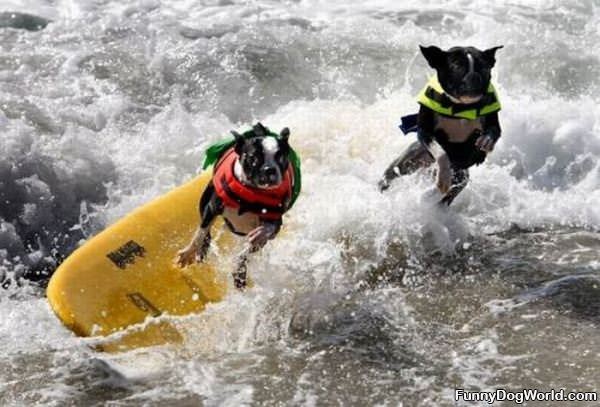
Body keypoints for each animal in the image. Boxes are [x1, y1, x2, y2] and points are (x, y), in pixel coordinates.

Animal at [176, 122, 302, 290]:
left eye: (281, 157)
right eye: (253, 157)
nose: (270, 169)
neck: (252, 192)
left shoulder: (274, 224)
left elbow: (250, 247)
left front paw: (240, 272)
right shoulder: (212, 207)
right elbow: (201, 232)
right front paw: (188, 253)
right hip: (205, 199)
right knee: (205, 228)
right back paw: (201, 250)